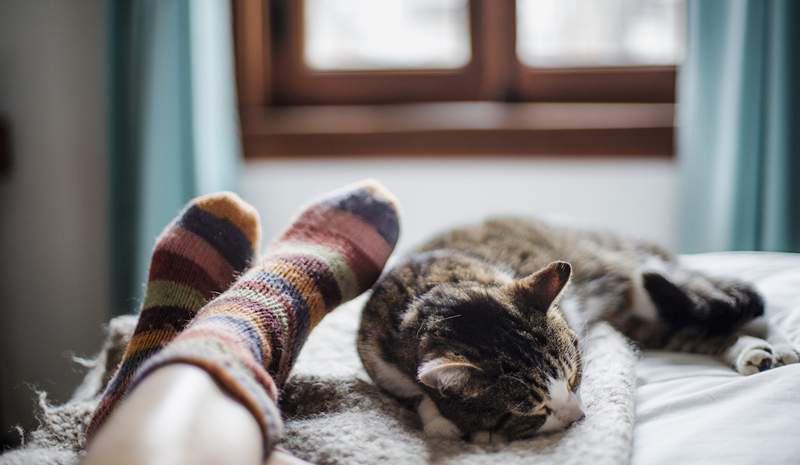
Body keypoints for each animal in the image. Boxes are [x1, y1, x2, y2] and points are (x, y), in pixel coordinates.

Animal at [358, 218, 800, 442]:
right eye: (535, 409)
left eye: (575, 377)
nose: (579, 417)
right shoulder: (377, 360)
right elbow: (416, 393)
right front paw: (439, 421)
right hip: (641, 318)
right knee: (690, 329)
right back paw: (752, 352)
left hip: (643, 274)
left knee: (727, 302)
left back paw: (772, 345)